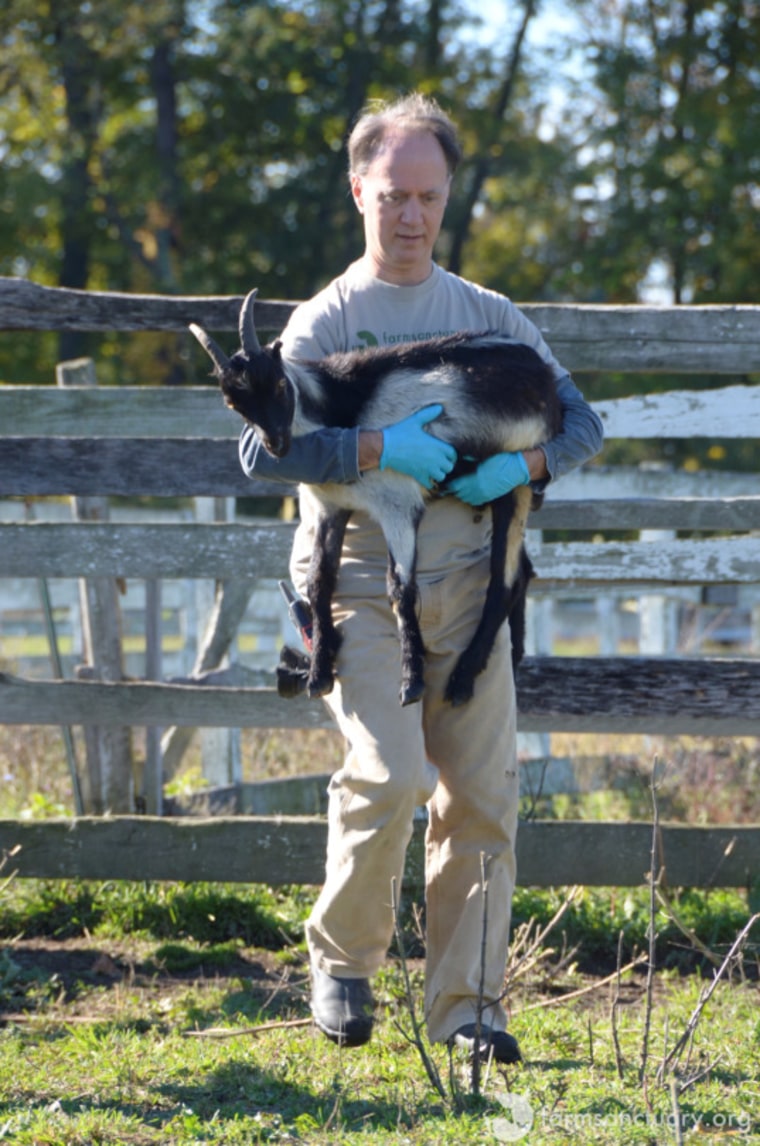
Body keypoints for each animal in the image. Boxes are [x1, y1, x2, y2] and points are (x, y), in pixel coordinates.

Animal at [189, 288, 563, 705]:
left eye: (280, 385)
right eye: (233, 403)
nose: (276, 445)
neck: (339, 408)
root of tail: (546, 379)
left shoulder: (397, 504)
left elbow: (400, 588)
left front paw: (412, 682)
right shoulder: (330, 508)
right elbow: (319, 582)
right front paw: (319, 675)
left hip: (515, 479)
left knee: (505, 580)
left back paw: (463, 679)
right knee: (524, 571)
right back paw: (512, 656)